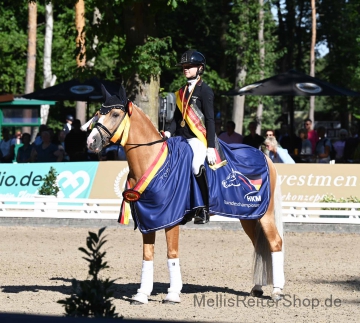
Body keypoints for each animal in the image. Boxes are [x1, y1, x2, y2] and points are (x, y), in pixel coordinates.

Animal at [84, 85, 284, 306]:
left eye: (115, 114)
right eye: (98, 113)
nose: (91, 141)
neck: (155, 161)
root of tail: (264, 156)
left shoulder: (171, 217)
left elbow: (172, 254)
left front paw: (172, 294)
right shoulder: (149, 218)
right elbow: (147, 256)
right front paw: (142, 295)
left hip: (264, 215)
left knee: (275, 243)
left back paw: (277, 291)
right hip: (248, 216)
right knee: (258, 246)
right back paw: (257, 288)